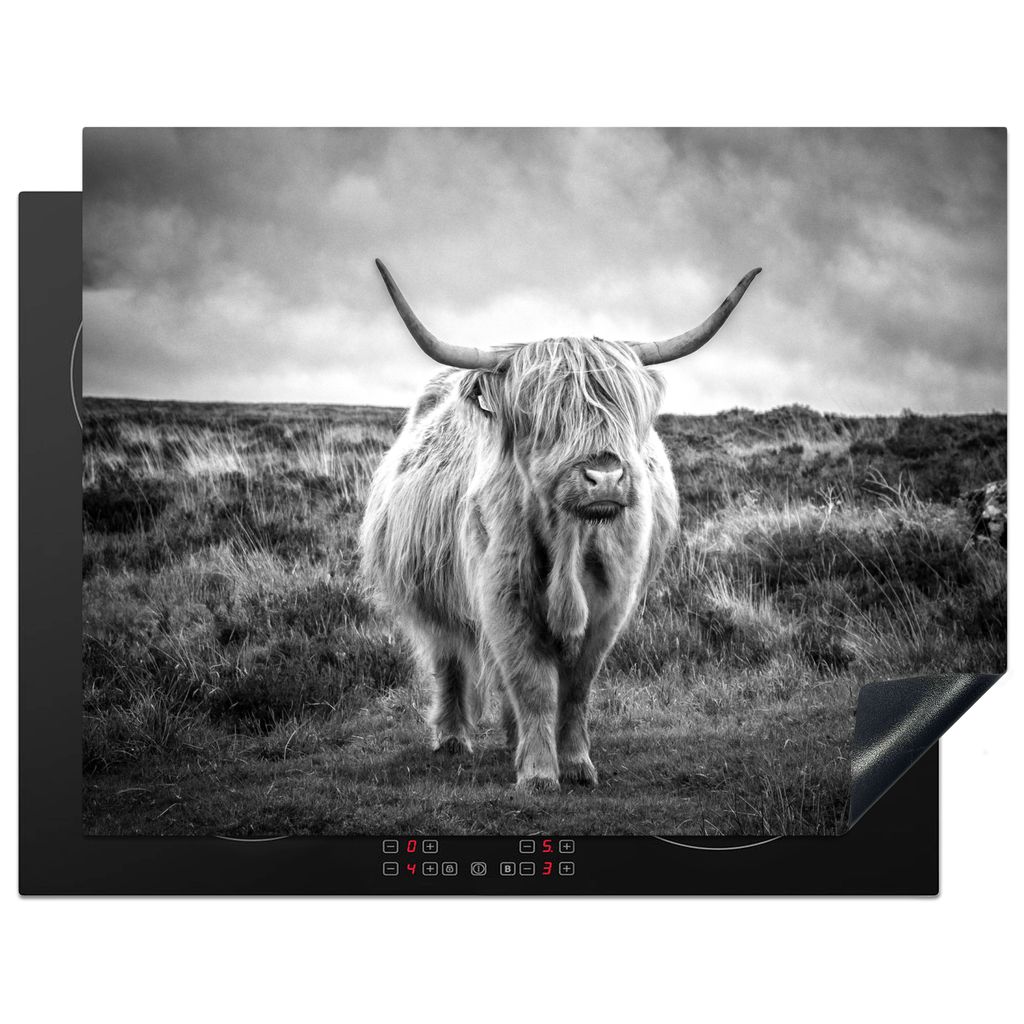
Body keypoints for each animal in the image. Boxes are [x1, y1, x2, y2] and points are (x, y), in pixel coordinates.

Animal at [360, 260, 760, 791]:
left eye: (623, 409)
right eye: (543, 415)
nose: (605, 476)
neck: (570, 541)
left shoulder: (611, 604)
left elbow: (575, 688)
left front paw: (575, 763)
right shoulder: (502, 596)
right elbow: (531, 683)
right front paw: (537, 773)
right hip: (430, 593)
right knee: (448, 658)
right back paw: (452, 738)